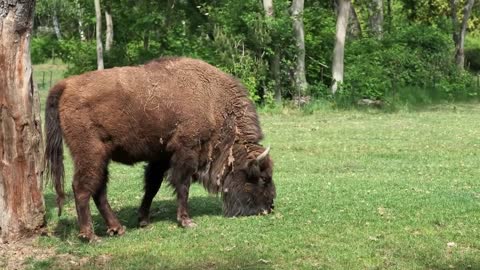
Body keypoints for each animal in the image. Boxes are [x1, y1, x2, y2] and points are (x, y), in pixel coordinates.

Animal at [45, 56, 278, 240]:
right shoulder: (186, 152)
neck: (213, 102)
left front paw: (143, 220)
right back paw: (90, 236)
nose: (270, 207)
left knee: (99, 190)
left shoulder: (161, 156)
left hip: (101, 158)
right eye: (263, 179)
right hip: (90, 154)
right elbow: (182, 186)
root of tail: (65, 85)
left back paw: (117, 228)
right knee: (82, 188)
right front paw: (186, 221)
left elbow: (152, 186)